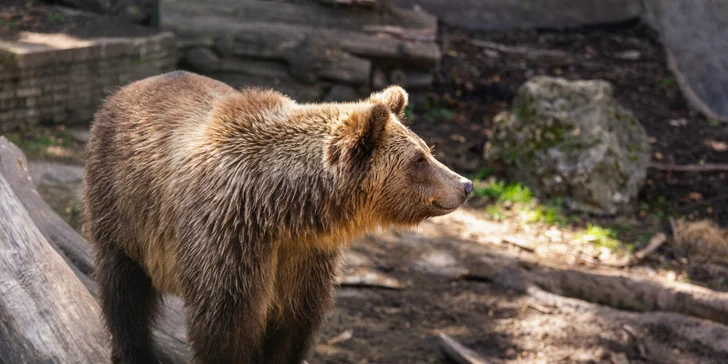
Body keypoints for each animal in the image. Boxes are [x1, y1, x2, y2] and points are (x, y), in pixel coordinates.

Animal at [82, 71, 472, 364]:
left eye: (427, 149)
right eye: (419, 159)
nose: (465, 185)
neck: (282, 209)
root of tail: (124, 89)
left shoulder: (302, 255)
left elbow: (294, 322)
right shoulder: (228, 237)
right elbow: (225, 324)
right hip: (123, 206)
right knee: (123, 288)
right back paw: (133, 351)